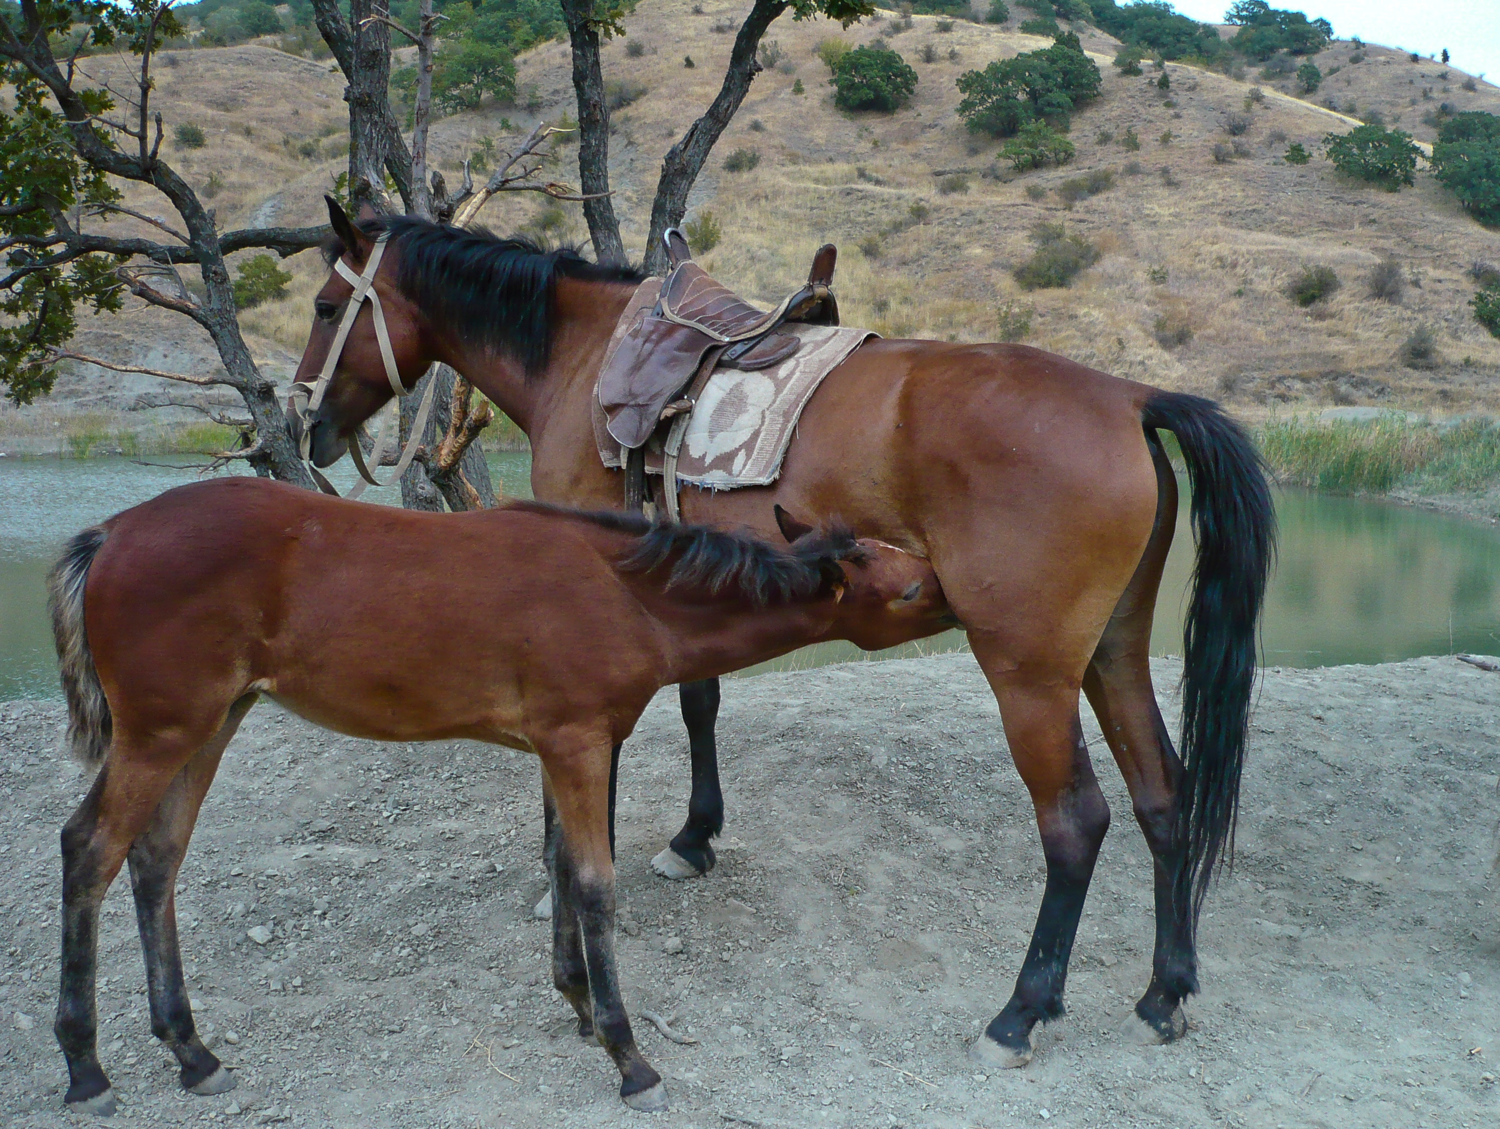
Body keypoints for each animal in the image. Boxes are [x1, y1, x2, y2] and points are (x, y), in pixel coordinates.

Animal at [49, 473, 948, 1109]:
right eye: (907, 589)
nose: (958, 593)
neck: (621, 590)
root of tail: (110, 532)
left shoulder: (557, 745)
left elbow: (557, 864)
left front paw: (577, 1003)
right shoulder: (578, 740)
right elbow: (593, 881)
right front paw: (629, 1055)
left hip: (209, 724)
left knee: (156, 859)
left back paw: (191, 1050)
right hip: (161, 732)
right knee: (90, 849)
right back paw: (87, 1067)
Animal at [295, 205, 1278, 1073]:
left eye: (324, 307)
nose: (306, 421)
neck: (579, 357)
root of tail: (1132, 398)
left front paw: (569, 870)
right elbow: (699, 698)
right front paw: (694, 836)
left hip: (1029, 672)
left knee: (1077, 823)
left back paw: (1019, 1014)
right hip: (1114, 651)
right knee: (1164, 796)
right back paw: (1165, 992)